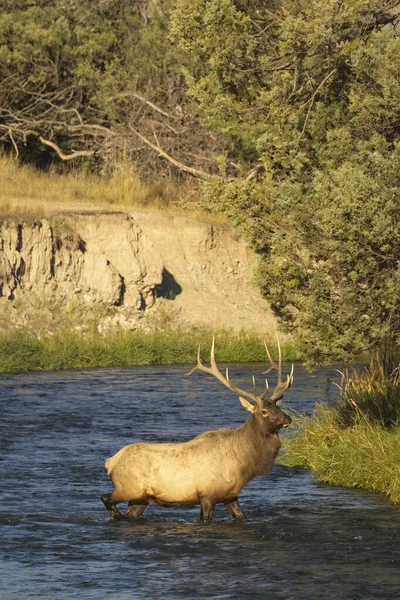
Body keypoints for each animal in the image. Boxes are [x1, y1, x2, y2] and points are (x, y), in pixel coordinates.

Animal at [101, 336, 294, 524]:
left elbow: (241, 516)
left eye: (277, 406)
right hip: (128, 488)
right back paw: (115, 516)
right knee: (105, 498)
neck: (243, 465)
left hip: (141, 498)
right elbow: (205, 520)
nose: (287, 418)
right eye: (264, 411)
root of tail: (110, 462)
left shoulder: (231, 495)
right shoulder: (207, 494)